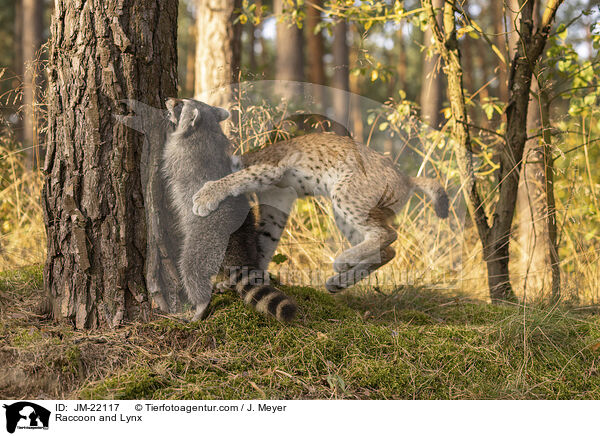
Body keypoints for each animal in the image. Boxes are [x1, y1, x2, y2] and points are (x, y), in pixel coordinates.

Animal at [162, 99, 298, 324]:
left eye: (180, 104)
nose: (168, 100)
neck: (206, 128)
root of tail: (238, 239)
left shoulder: (178, 155)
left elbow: (163, 160)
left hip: (206, 240)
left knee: (192, 269)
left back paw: (201, 303)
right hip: (249, 236)